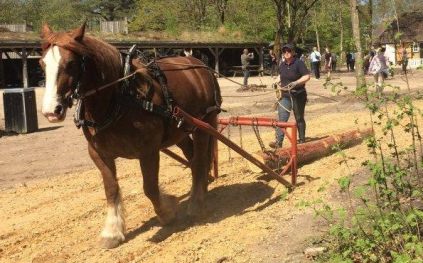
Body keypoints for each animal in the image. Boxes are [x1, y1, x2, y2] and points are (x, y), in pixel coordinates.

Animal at [39, 23, 222, 250]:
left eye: (71, 63)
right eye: (42, 63)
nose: (51, 111)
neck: (120, 97)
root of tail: (200, 65)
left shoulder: (148, 151)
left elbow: (150, 188)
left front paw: (167, 213)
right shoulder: (99, 154)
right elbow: (111, 189)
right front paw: (112, 231)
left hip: (204, 125)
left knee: (200, 160)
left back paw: (196, 204)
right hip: (181, 130)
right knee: (193, 159)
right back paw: (202, 188)